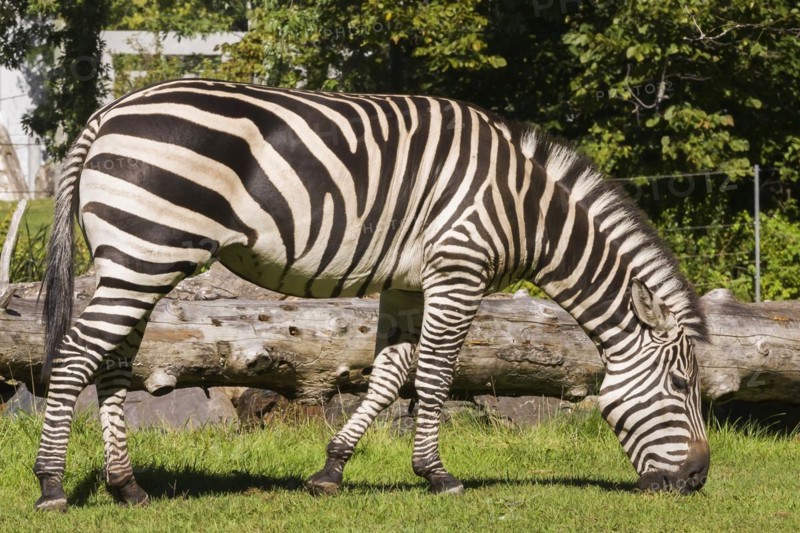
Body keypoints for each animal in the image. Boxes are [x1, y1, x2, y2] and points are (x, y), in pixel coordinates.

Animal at [33, 79, 710, 511]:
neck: (526, 210)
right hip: (148, 251)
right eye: (682, 385)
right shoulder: (458, 267)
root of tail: (109, 111)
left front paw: (331, 469)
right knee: (73, 356)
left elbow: (389, 376)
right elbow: (436, 374)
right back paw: (51, 486)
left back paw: (126, 487)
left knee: (112, 362)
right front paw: (438, 475)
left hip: (136, 258)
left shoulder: (408, 285)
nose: (699, 480)